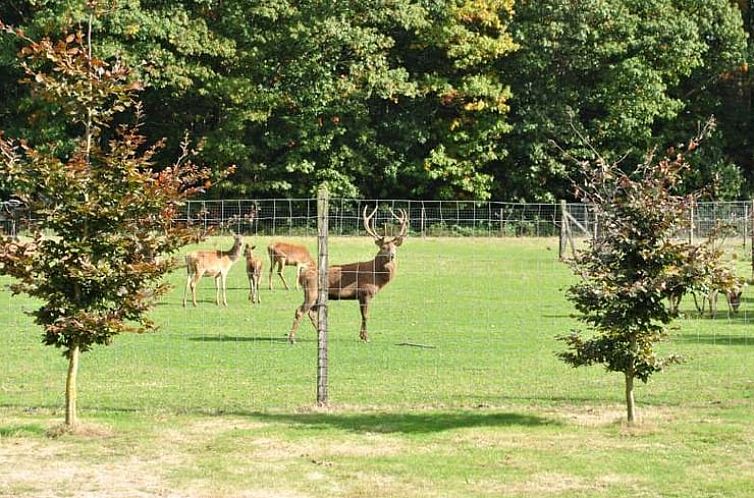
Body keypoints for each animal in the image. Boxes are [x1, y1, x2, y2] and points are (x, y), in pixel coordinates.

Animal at [286, 205, 406, 342]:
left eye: (394, 247)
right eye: (383, 248)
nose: (392, 255)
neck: (375, 277)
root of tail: (302, 276)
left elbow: (363, 315)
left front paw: (362, 336)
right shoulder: (365, 292)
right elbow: (365, 315)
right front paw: (366, 337)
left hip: (316, 295)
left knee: (311, 312)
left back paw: (319, 333)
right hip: (312, 291)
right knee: (300, 311)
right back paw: (292, 338)